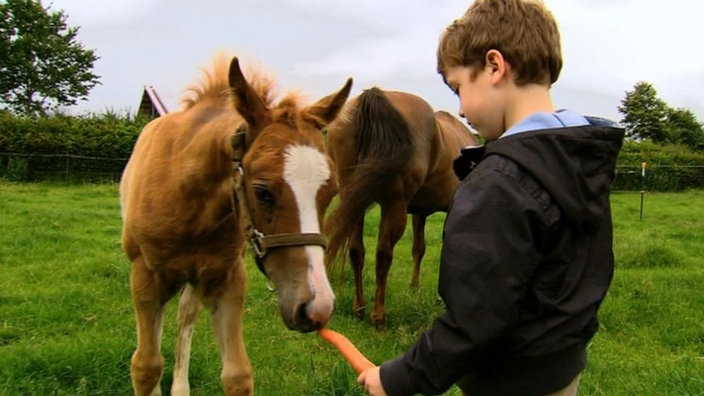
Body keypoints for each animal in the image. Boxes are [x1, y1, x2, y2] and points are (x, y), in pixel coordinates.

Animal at [121, 55, 354, 396]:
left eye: (332, 191)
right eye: (261, 192)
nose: (317, 307)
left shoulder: (227, 279)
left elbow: (237, 375)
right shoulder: (145, 277)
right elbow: (146, 367)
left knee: (186, 315)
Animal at [326, 87, 478, 332]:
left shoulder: (419, 212)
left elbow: (418, 248)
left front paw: (414, 286)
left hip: (356, 201)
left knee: (357, 251)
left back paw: (360, 309)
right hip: (393, 206)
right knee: (383, 254)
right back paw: (379, 318)